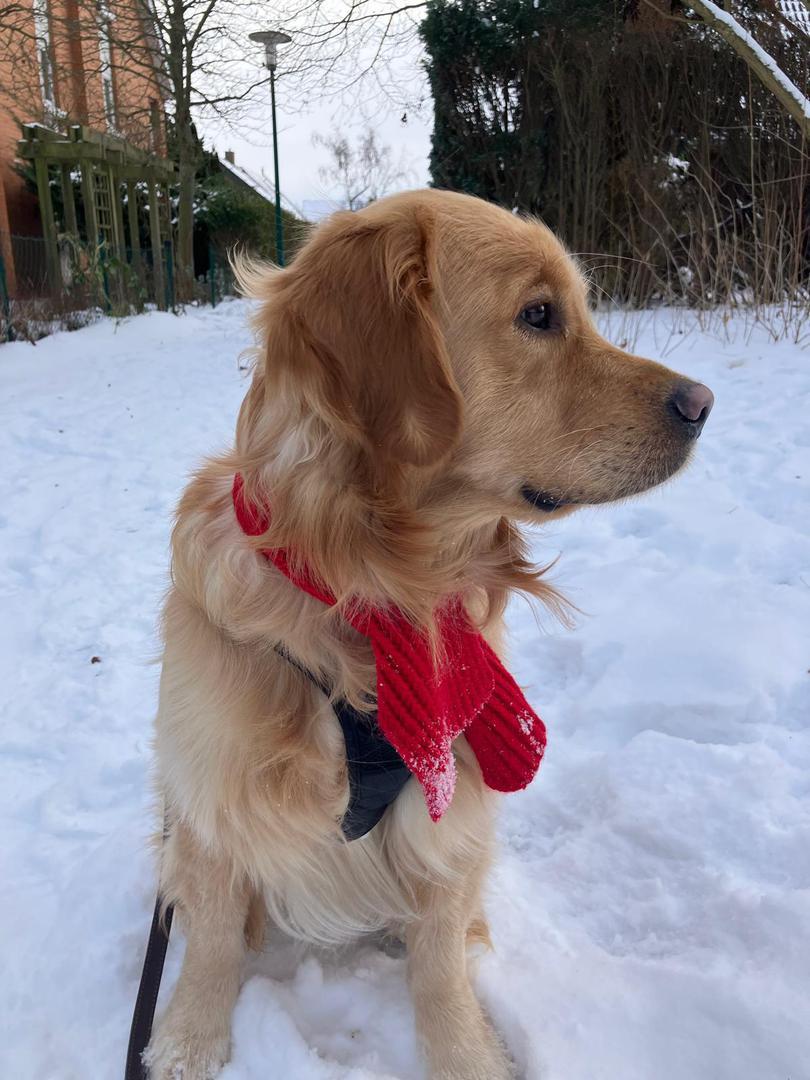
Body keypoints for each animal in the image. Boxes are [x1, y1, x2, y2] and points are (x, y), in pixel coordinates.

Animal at [145, 188, 713, 1079]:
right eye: (539, 315)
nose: (702, 405)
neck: (374, 592)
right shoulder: (207, 795)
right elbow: (207, 940)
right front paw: (188, 1040)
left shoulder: (456, 807)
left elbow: (439, 963)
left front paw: (466, 1055)